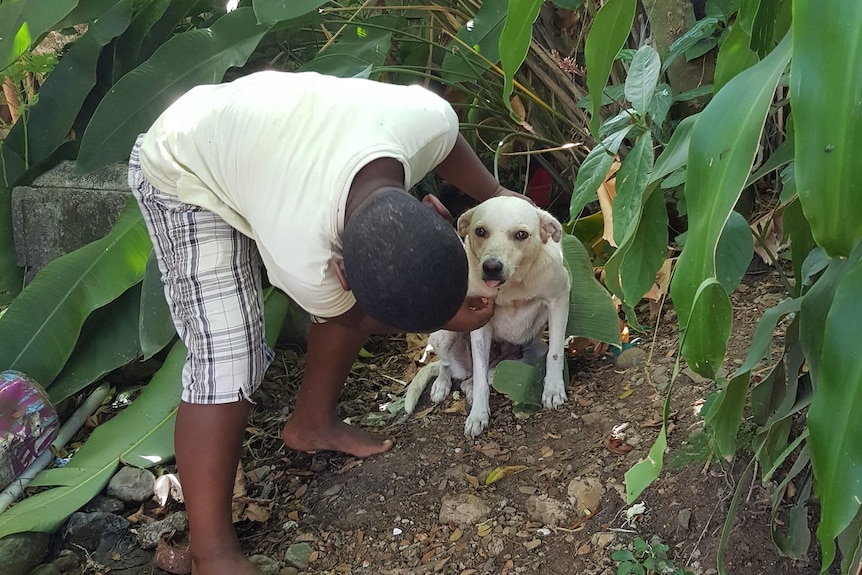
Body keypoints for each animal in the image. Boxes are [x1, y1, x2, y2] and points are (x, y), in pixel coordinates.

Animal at [404, 196, 572, 438]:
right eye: (480, 231)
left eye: (521, 234)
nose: (492, 267)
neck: (512, 285)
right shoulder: (479, 323)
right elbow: (480, 378)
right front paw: (478, 415)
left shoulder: (559, 298)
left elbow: (556, 354)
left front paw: (553, 388)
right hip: (443, 335)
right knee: (447, 366)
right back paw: (443, 385)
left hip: (530, 352)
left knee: (480, 377)